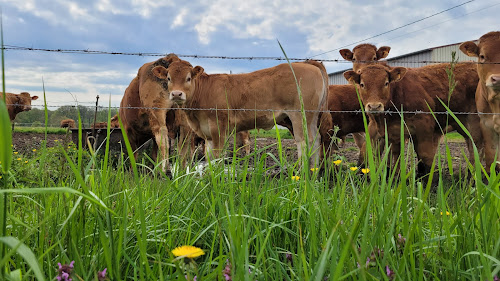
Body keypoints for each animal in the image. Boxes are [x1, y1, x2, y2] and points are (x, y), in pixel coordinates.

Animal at [151, 57, 332, 166]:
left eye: (188, 78)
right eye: (168, 78)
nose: (176, 94)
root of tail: (307, 63)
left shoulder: (219, 129)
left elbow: (218, 157)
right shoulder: (207, 134)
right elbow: (209, 158)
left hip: (300, 116)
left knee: (305, 142)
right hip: (311, 118)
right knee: (316, 141)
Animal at [346, 63, 482, 175]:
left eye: (386, 83)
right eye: (362, 84)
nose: (374, 106)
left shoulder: (424, 130)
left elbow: (425, 161)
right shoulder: (376, 129)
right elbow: (364, 155)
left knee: (478, 147)